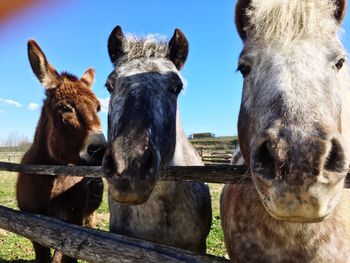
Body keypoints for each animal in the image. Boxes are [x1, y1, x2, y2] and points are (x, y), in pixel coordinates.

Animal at [16, 39, 106, 263]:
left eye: (98, 108)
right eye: (65, 108)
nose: (101, 151)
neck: (52, 177)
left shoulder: (70, 226)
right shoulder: (33, 226)